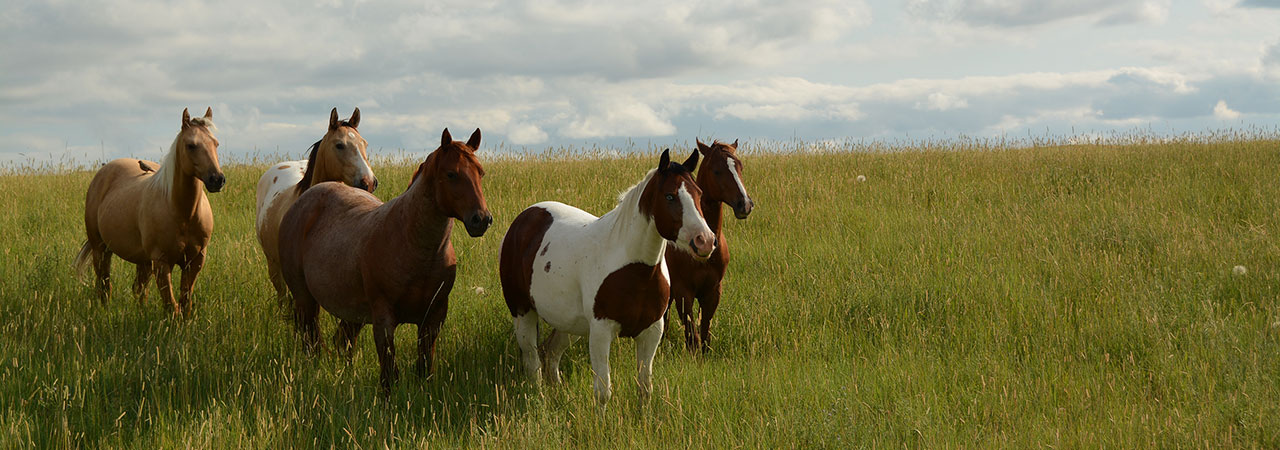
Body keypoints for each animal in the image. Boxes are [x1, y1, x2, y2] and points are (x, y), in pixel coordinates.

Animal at [74, 108, 227, 317]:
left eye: (216, 143)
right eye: (191, 145)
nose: (217, 179)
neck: (183, 213)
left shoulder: (195, 261)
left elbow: (184, 303)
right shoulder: (161, 262)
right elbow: (171, 306)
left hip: (143, 261)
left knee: (139, 290)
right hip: (101, 249)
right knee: (105, 286)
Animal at [277, 126, 491, 391]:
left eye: (480, 173)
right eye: (451, 174)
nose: (481, 219)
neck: (413, 247)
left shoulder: (433, 318)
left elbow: (424, 368)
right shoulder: (384, 319)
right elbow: (390, 374)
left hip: (351, 312)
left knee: (342, 341)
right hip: (304, 299)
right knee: (311, 340)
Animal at [665, 138, 752, 352]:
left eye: (740, 167)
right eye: (716, 170)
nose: (745, 205)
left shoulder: (712, 292)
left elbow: (704, 333)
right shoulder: (683, 292)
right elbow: (692, 337)